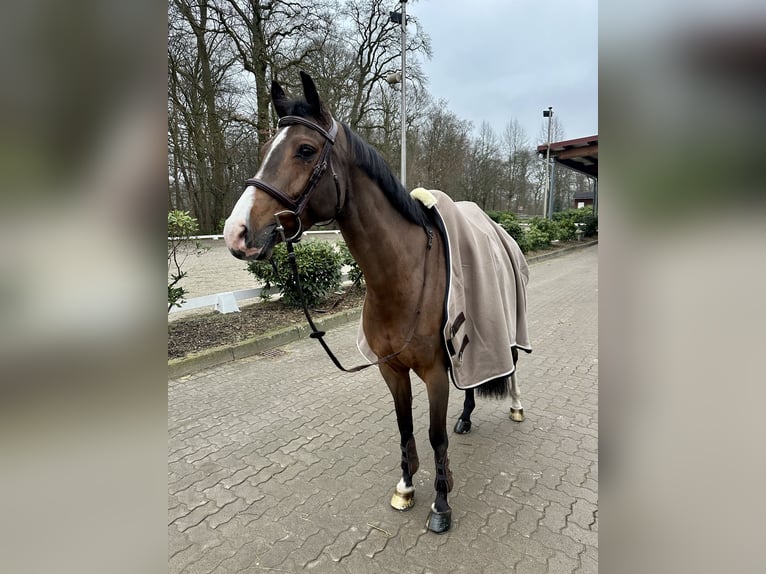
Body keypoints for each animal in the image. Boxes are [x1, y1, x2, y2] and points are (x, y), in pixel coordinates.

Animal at [223, 72, 529, 533]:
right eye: (264, 151)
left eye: (305, 150)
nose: (237, 232)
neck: (404, 276)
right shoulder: (391, 369)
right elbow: (404, 427)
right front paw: (406, 487)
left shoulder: (435, 372)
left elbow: (434, 435)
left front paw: (441, 503)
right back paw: (467, 417)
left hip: (507, 324)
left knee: (510, 364)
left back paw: (515, 407)